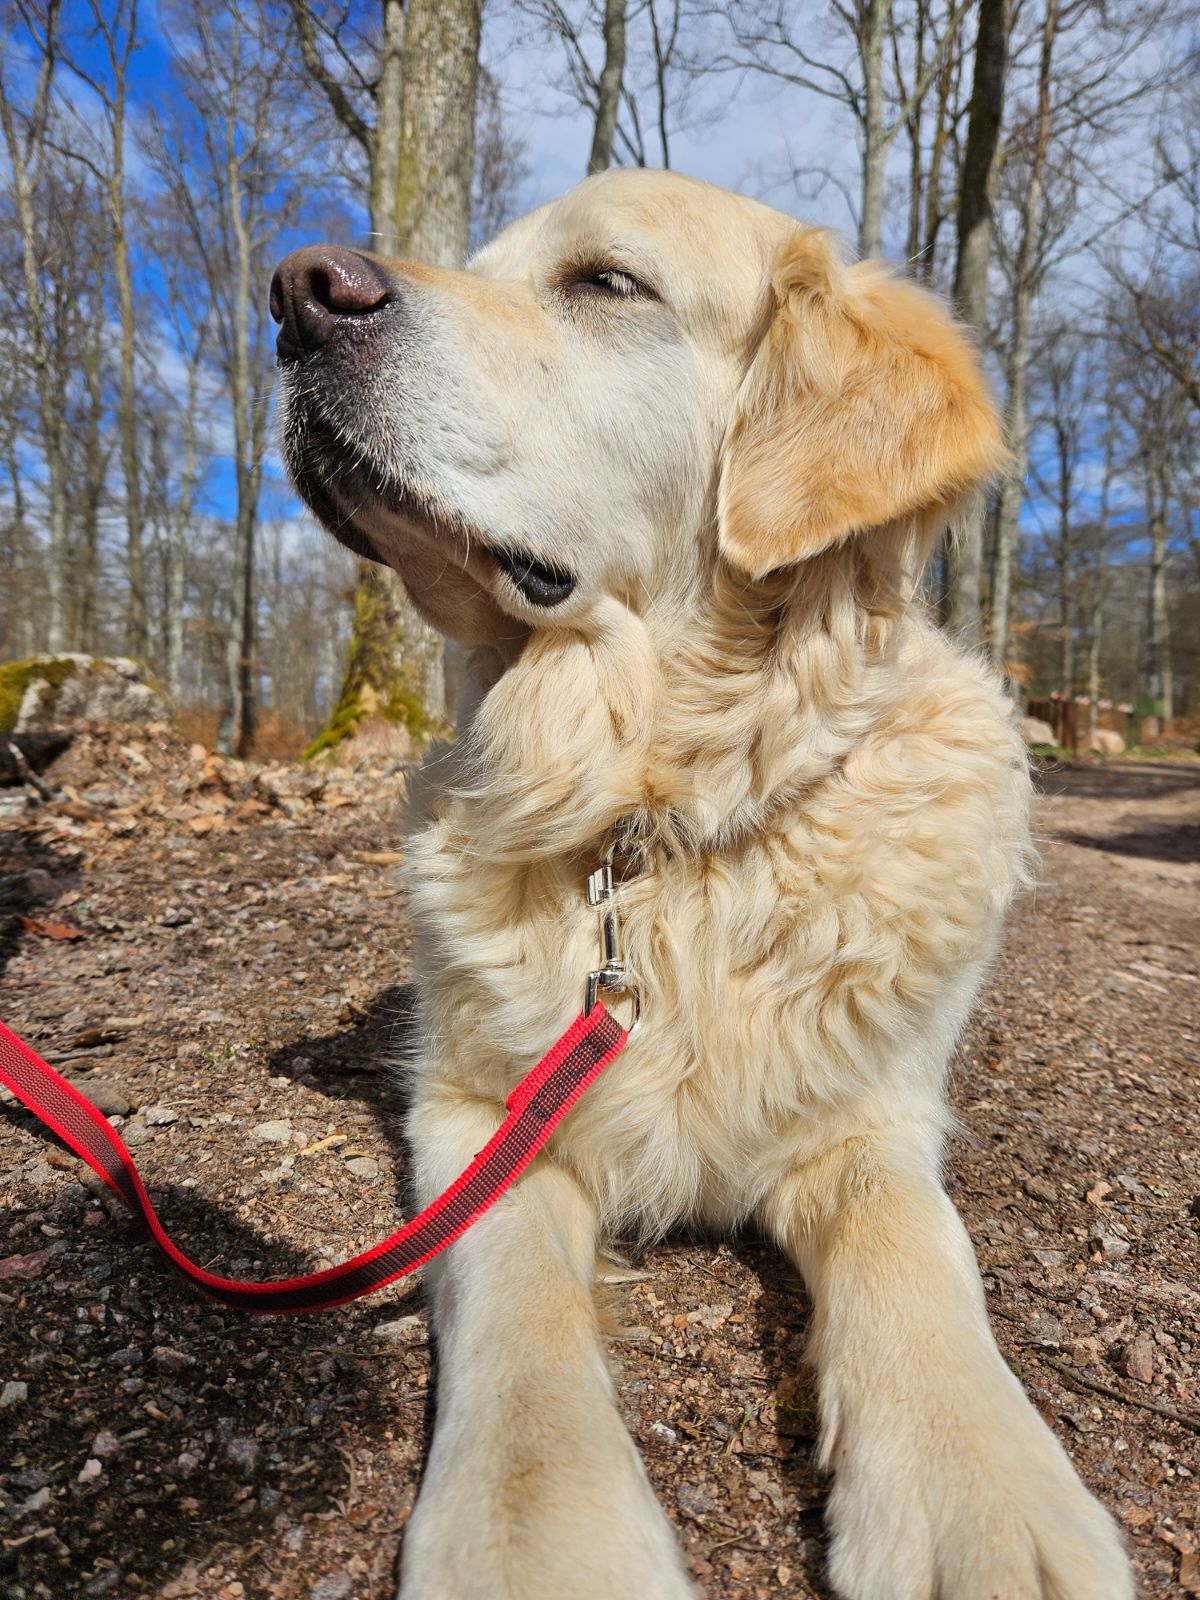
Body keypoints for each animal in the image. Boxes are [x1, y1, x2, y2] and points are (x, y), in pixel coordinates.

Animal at [272, 172, 1139, 1600]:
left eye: (608, 283)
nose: (296, 292)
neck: (656, 814)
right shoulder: (476, 1112)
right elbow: (515, 1296)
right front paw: (543, 1545)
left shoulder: (873, 1121)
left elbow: (916, 1245)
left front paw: (982, 1495)